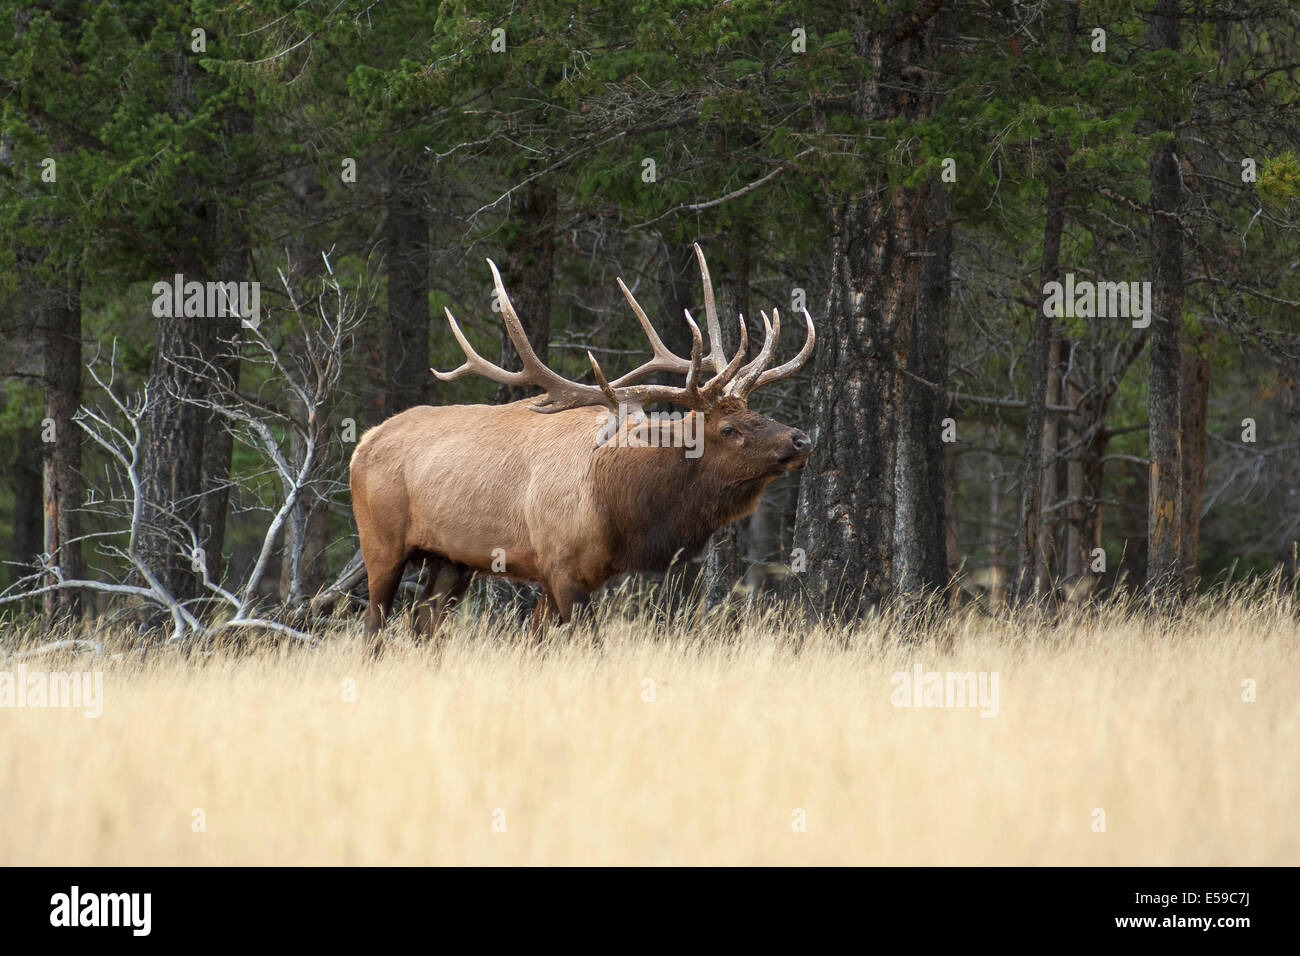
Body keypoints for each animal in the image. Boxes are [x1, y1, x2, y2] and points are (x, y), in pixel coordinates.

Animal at [345, 243, 811, 647]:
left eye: (755, 410)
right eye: (729, 428)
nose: (801, 438)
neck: (618, 505)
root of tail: (361, 444)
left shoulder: (580, 574)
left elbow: (535, 644)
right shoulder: (560, 564)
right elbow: (590, 644)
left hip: (450, 559)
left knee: (422, 624)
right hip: (380, 542)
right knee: (373, 627)